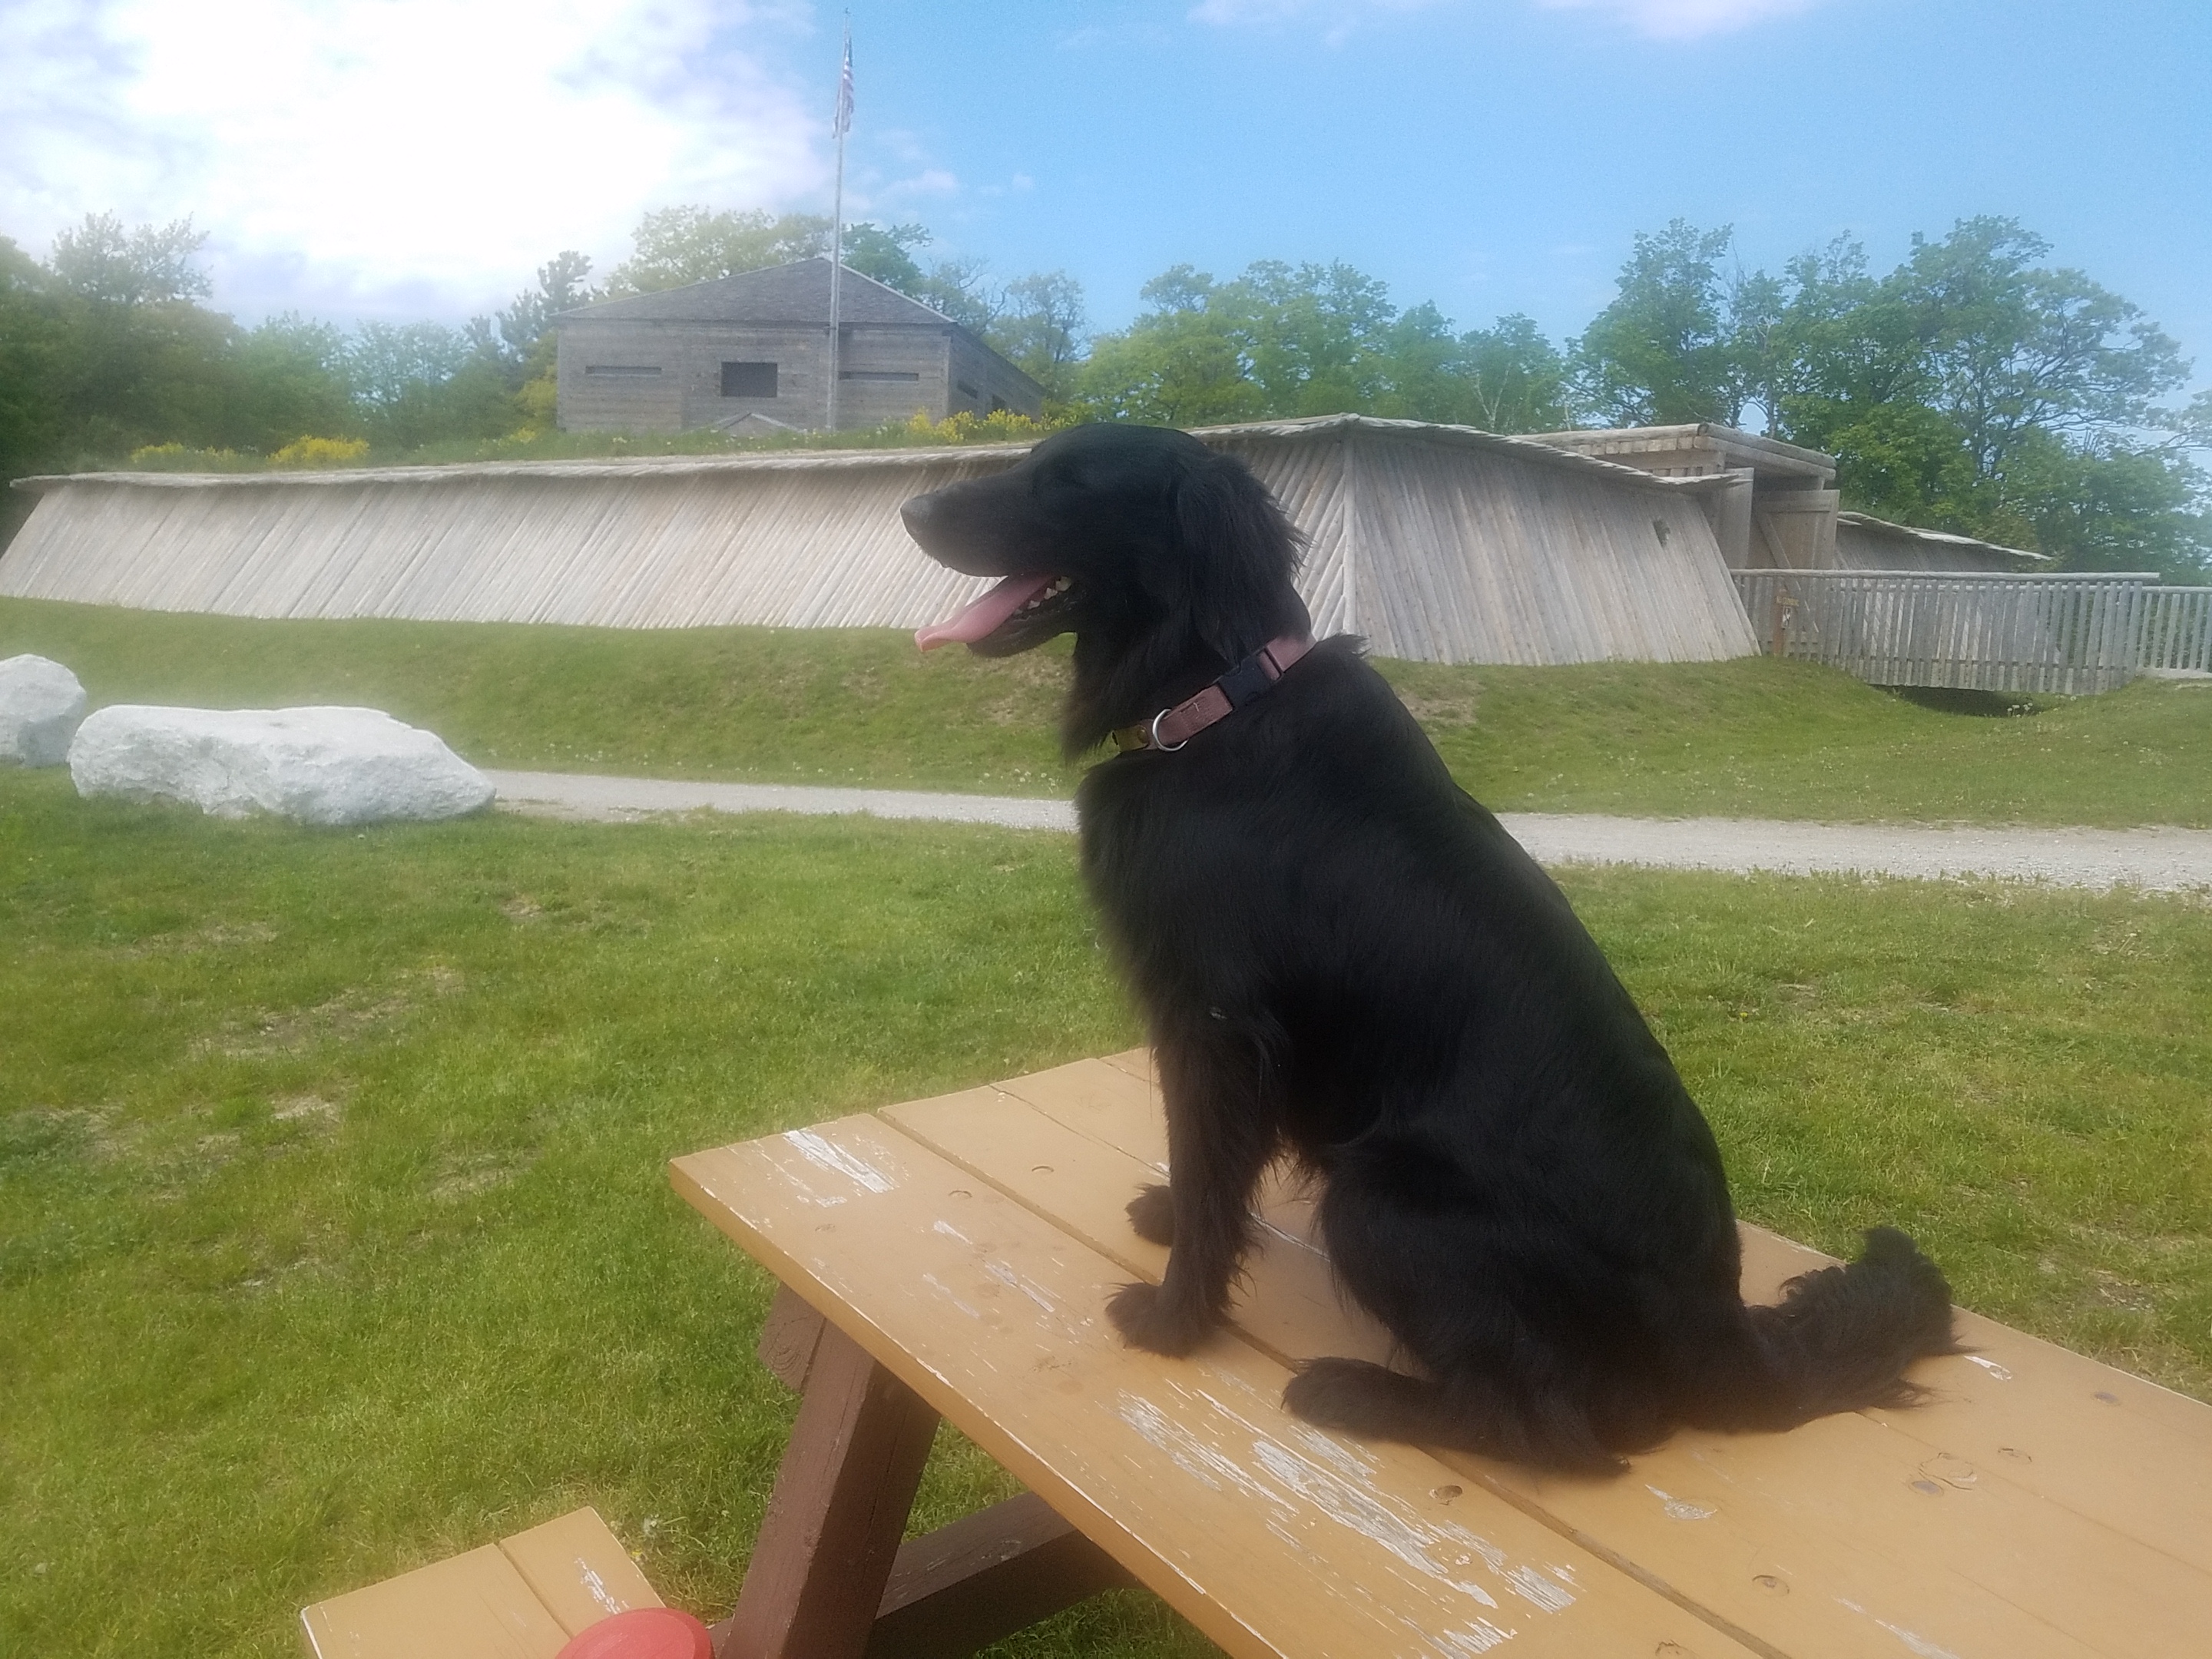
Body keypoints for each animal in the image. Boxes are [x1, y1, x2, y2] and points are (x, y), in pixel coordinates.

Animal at [902, 422, 1957, 1472]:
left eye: (1067, 482)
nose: (912, 509)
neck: (1219, 699)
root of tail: (1724, 1327)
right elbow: (1212, 1166)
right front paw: (1169, 1223)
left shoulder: (1216, 1020)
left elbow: (1209, 1170)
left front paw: (1173, 1321)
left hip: (1377, 1196)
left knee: (1561, 1426)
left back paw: (1354, 1393)